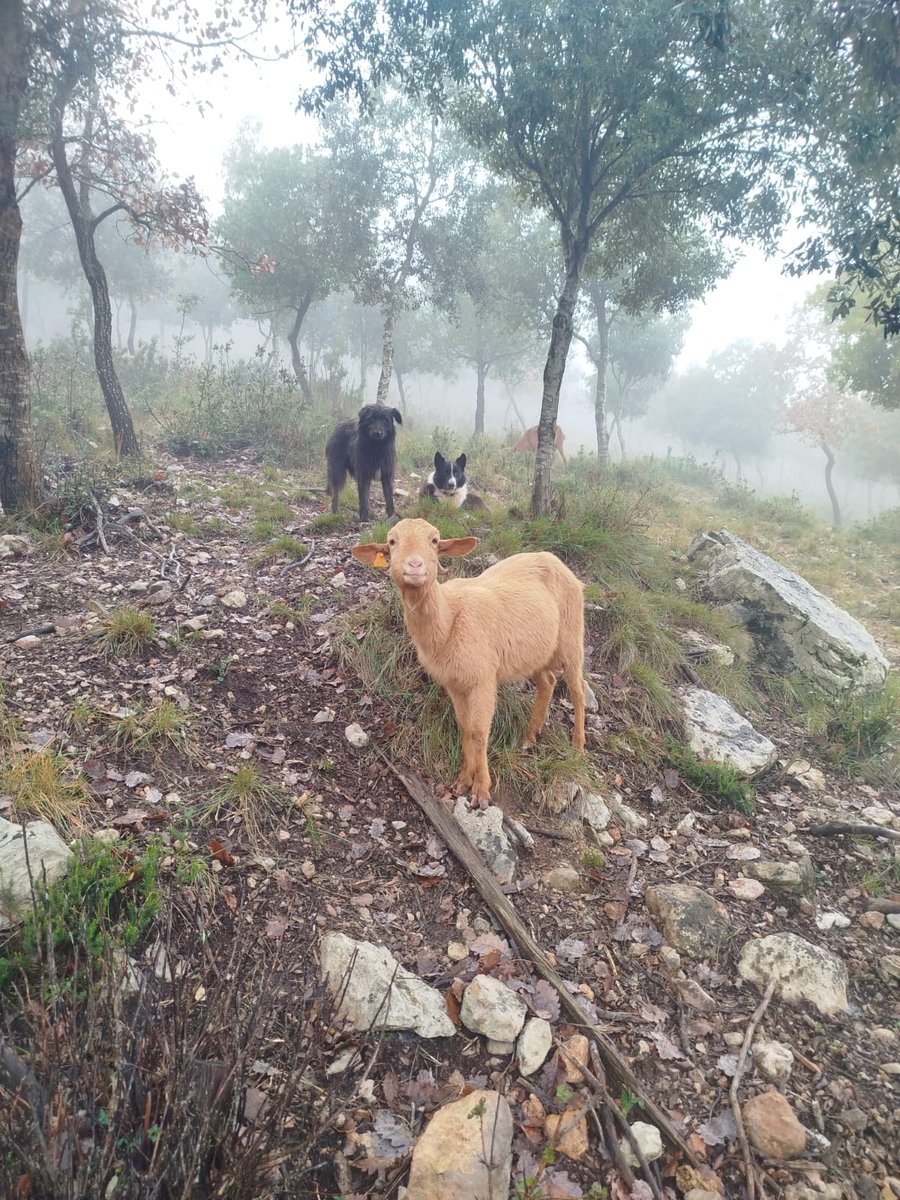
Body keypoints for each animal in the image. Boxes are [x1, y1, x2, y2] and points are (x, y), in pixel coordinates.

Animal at [352, 517, 586, 805]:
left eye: (435, 541)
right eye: (392, 541)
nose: (415, 566)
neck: (449, 618)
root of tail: (555, 559)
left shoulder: (482, 679)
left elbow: (478, 732)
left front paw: (482, 790)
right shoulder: (454, 683)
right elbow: (465, 728)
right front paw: (464, 780)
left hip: (572, 634)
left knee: (577, 688)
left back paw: (578, 746)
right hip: (538, 650)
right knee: (548, 681)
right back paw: (530, 737)